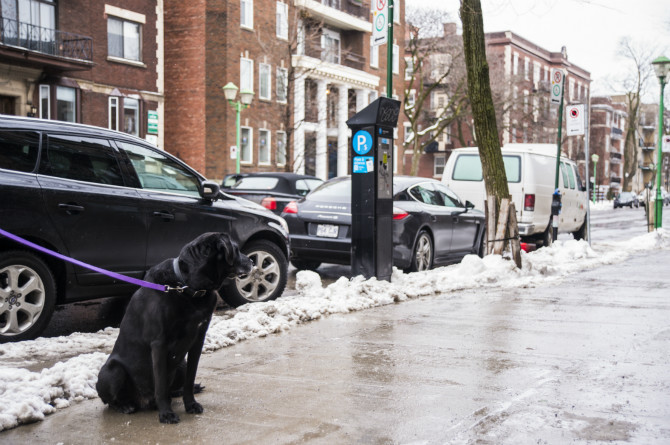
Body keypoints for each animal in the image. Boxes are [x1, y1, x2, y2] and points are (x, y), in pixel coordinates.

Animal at [99, 232, 255, 424]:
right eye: (236, 249)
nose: (252, 261)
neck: (187, 288)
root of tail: (143, 401)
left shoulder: (198, 339)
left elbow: (190, 378)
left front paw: (191, 404)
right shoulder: (159, 343)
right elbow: (160, 385)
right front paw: (166, 413)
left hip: (181, 364)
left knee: (175, 387)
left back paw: (178, 392)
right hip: (112, 371)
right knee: (110, 401)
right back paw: (125, 406)